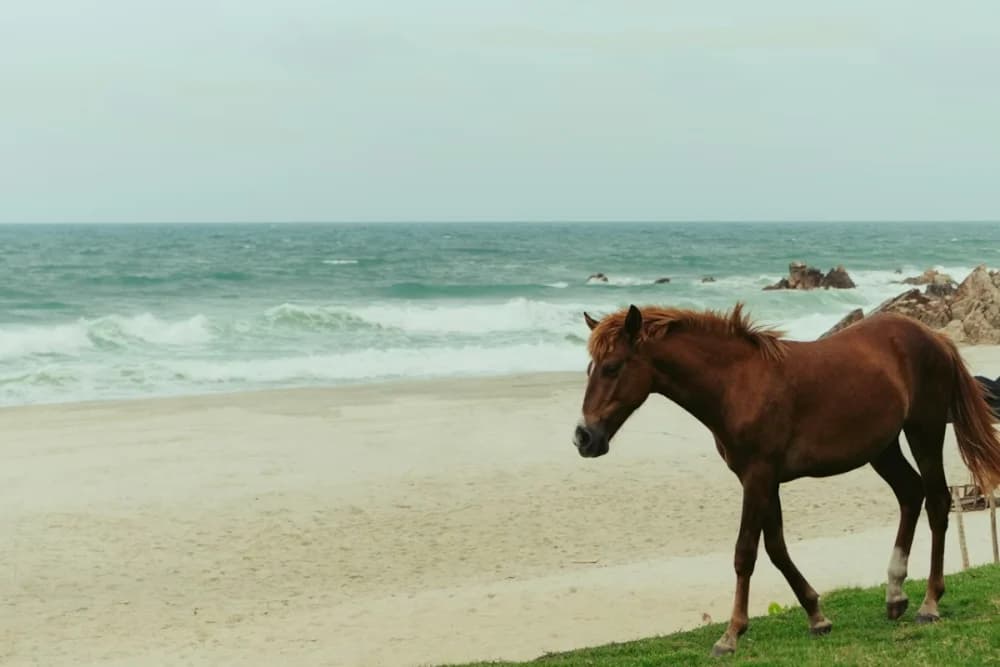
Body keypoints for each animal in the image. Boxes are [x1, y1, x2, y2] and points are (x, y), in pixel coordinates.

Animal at [573, 303, 1000, 657]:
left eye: (612, 367)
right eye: (590, 369)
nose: (584, 437)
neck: (737, 382)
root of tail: (934, 337)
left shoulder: (758, 476)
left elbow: (745, 552)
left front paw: (730, 635)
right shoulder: (764, 480)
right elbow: (776, 547)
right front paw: (817, 616)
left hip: (924, 431)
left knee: (937, 502)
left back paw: (930, 603)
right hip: (882, 447)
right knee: (911, 494)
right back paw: (894, 595)